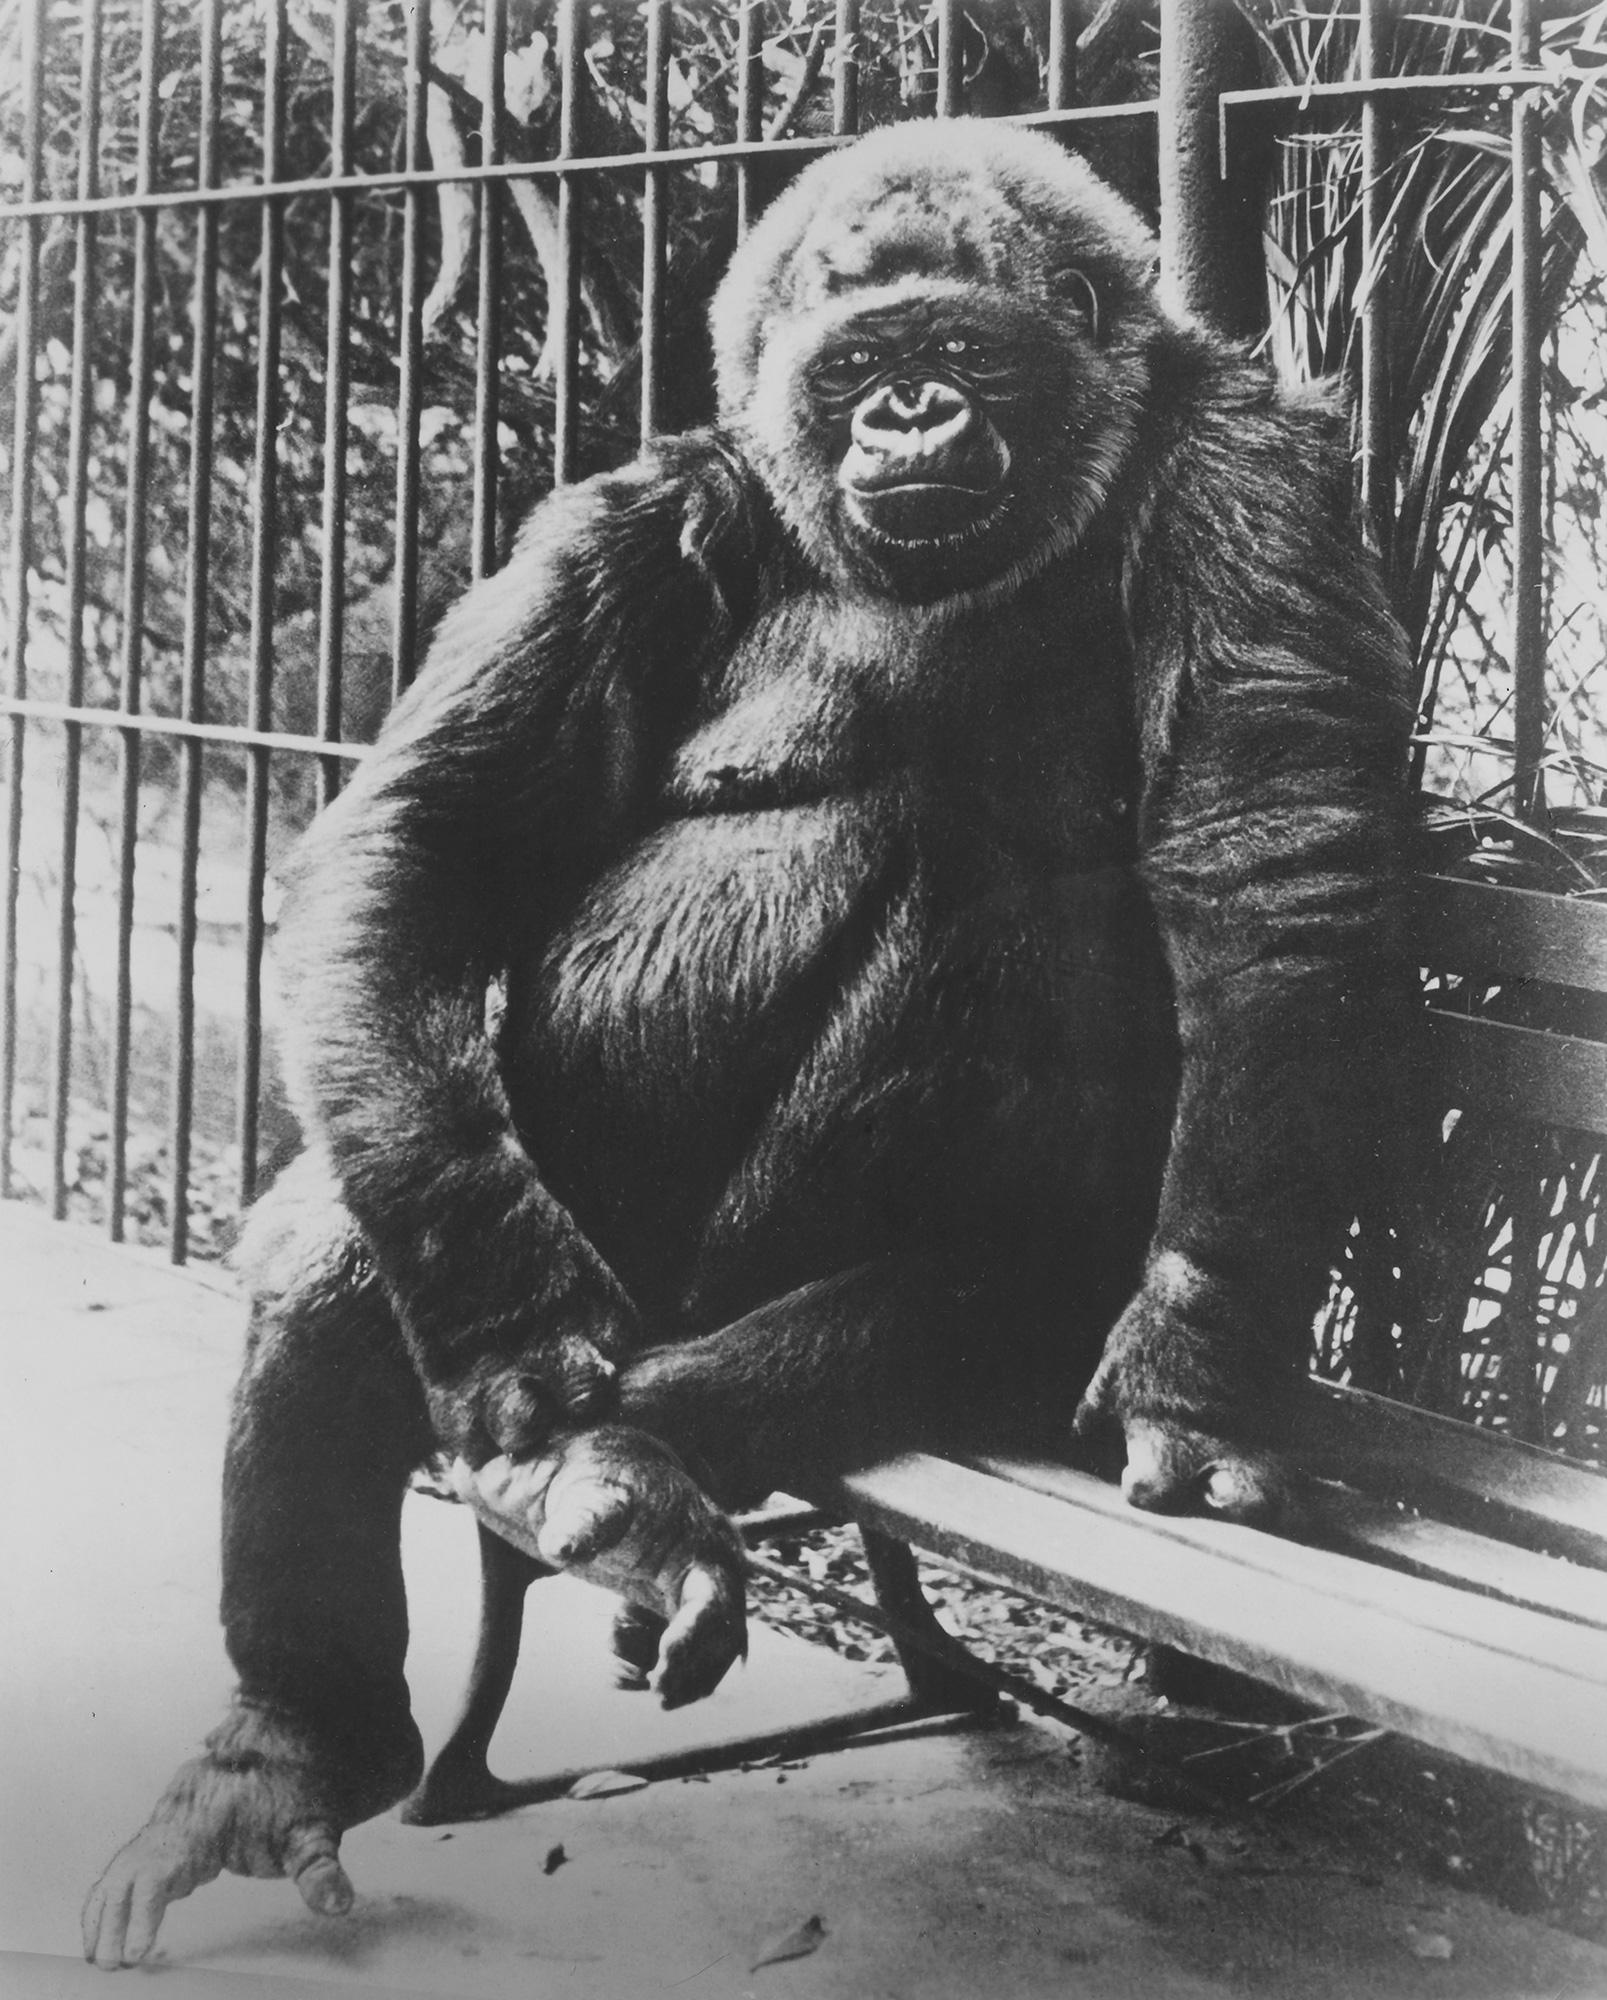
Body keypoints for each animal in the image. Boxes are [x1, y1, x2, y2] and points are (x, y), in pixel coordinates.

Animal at [82, 118, 1415, 1968]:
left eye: (957, 346)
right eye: (852, 364)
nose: (908, 413)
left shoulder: (1249, 463)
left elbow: (1265, 853)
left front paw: (1204, 1359)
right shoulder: (637, 514)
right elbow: (428, 837)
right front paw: (499, 1303)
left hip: (799, 1282)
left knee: (925, 1197)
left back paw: (618, 1479)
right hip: (588, 1233)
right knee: (347, 1247)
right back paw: (310, 1727)